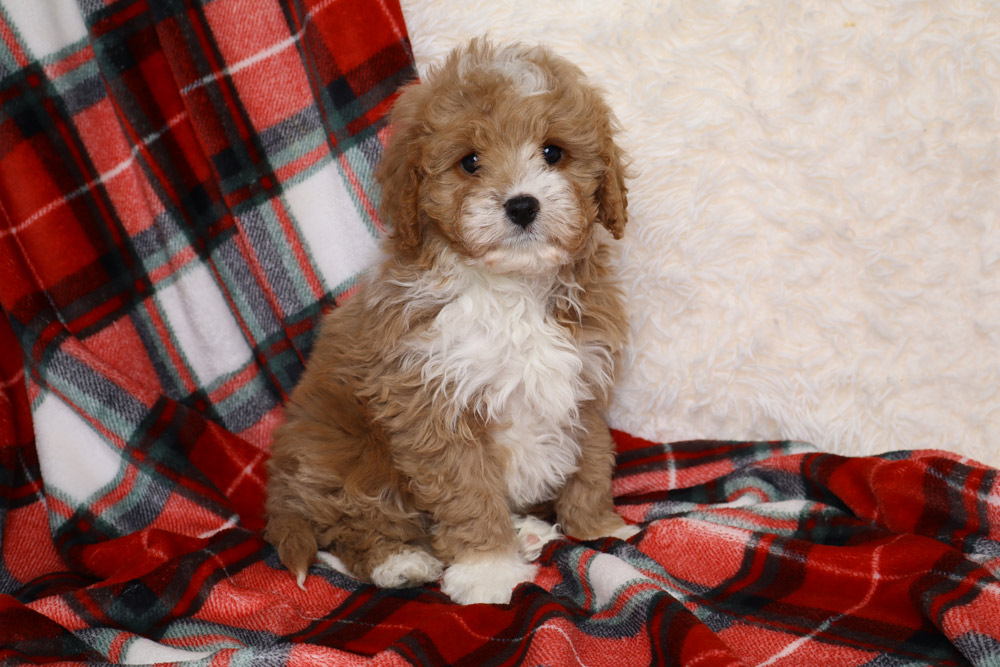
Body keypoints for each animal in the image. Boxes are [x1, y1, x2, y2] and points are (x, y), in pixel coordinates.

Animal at [264, 38, 636, 605]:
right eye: (470, 162)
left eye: (553, 152)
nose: (522, 205)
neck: (511, 288)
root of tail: (281, 490)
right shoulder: (430, 403)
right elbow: (467, 492)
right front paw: (489, 571)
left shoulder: (586, 383)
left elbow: (591, 460)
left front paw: (597, 526)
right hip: (342, 449)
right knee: (350, 520)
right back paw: (397, 560)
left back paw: (526, 531)